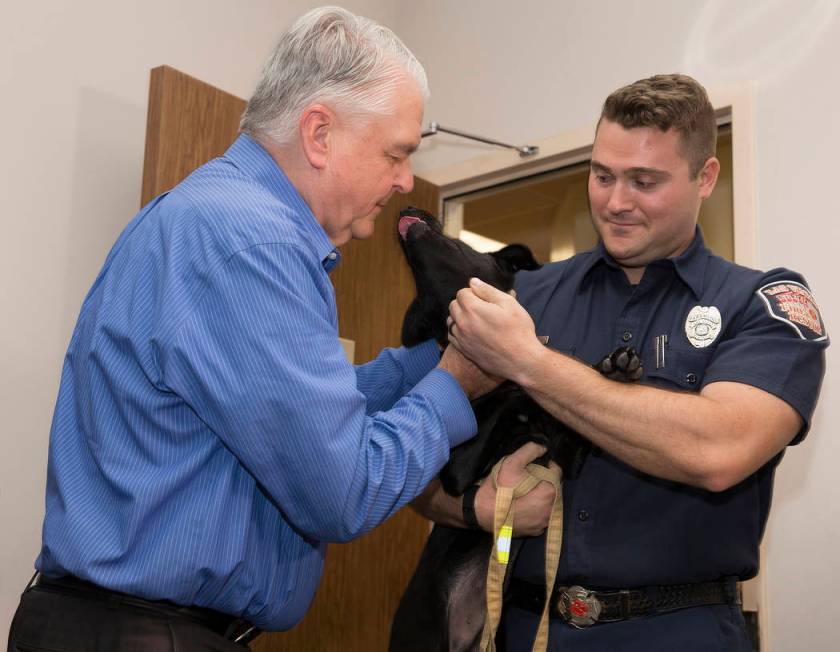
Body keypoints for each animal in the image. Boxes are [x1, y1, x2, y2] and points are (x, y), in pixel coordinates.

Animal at [390, 208, 640, 652]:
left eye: (465, 244)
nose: (407, 208)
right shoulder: (458, 468)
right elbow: (519, 388)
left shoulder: (567, 457)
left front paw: (611, 368)